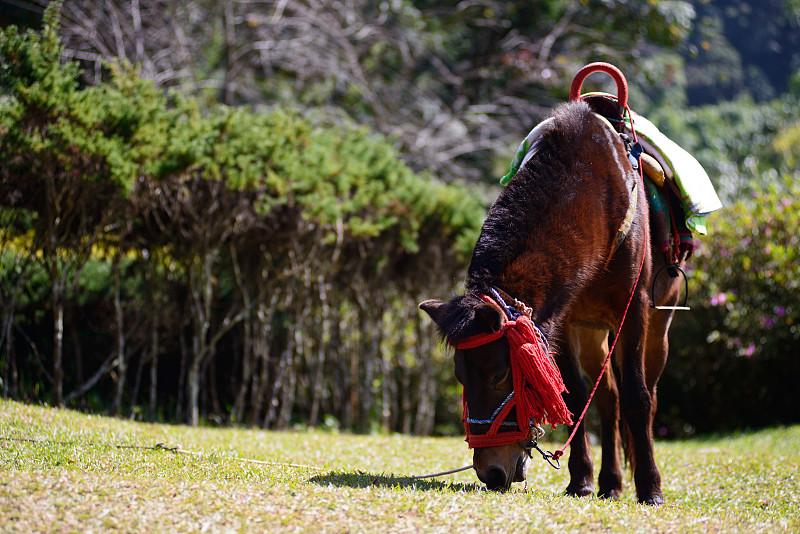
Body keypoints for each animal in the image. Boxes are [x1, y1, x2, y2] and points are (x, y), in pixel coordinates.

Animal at [418, 99, 688, 506]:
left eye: (500, 375)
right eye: (460, 377)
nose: (490, 473)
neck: (596, 189)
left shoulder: (634, 311)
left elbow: (637, 398)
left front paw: (650, 488)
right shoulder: (563, 323)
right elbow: (575, 399)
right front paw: (581, 480)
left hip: (658, 326)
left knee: (646, 395)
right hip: (593, 333)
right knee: (607, 399)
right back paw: (610, 482)